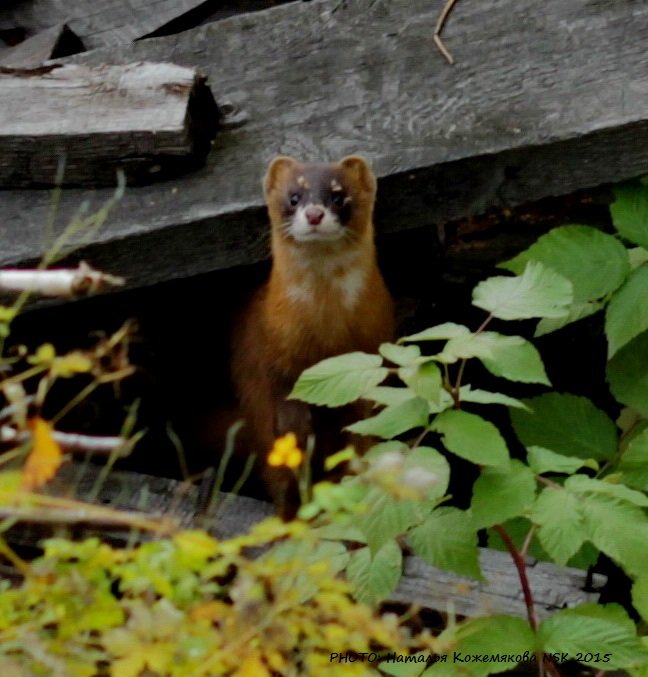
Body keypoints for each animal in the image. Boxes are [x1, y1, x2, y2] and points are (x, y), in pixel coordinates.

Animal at [233, 154, 394, 512]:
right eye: (294, 197)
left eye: (338, 195)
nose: (315, 214)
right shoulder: (273, 355)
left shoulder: (373, 343)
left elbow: (362, 430)